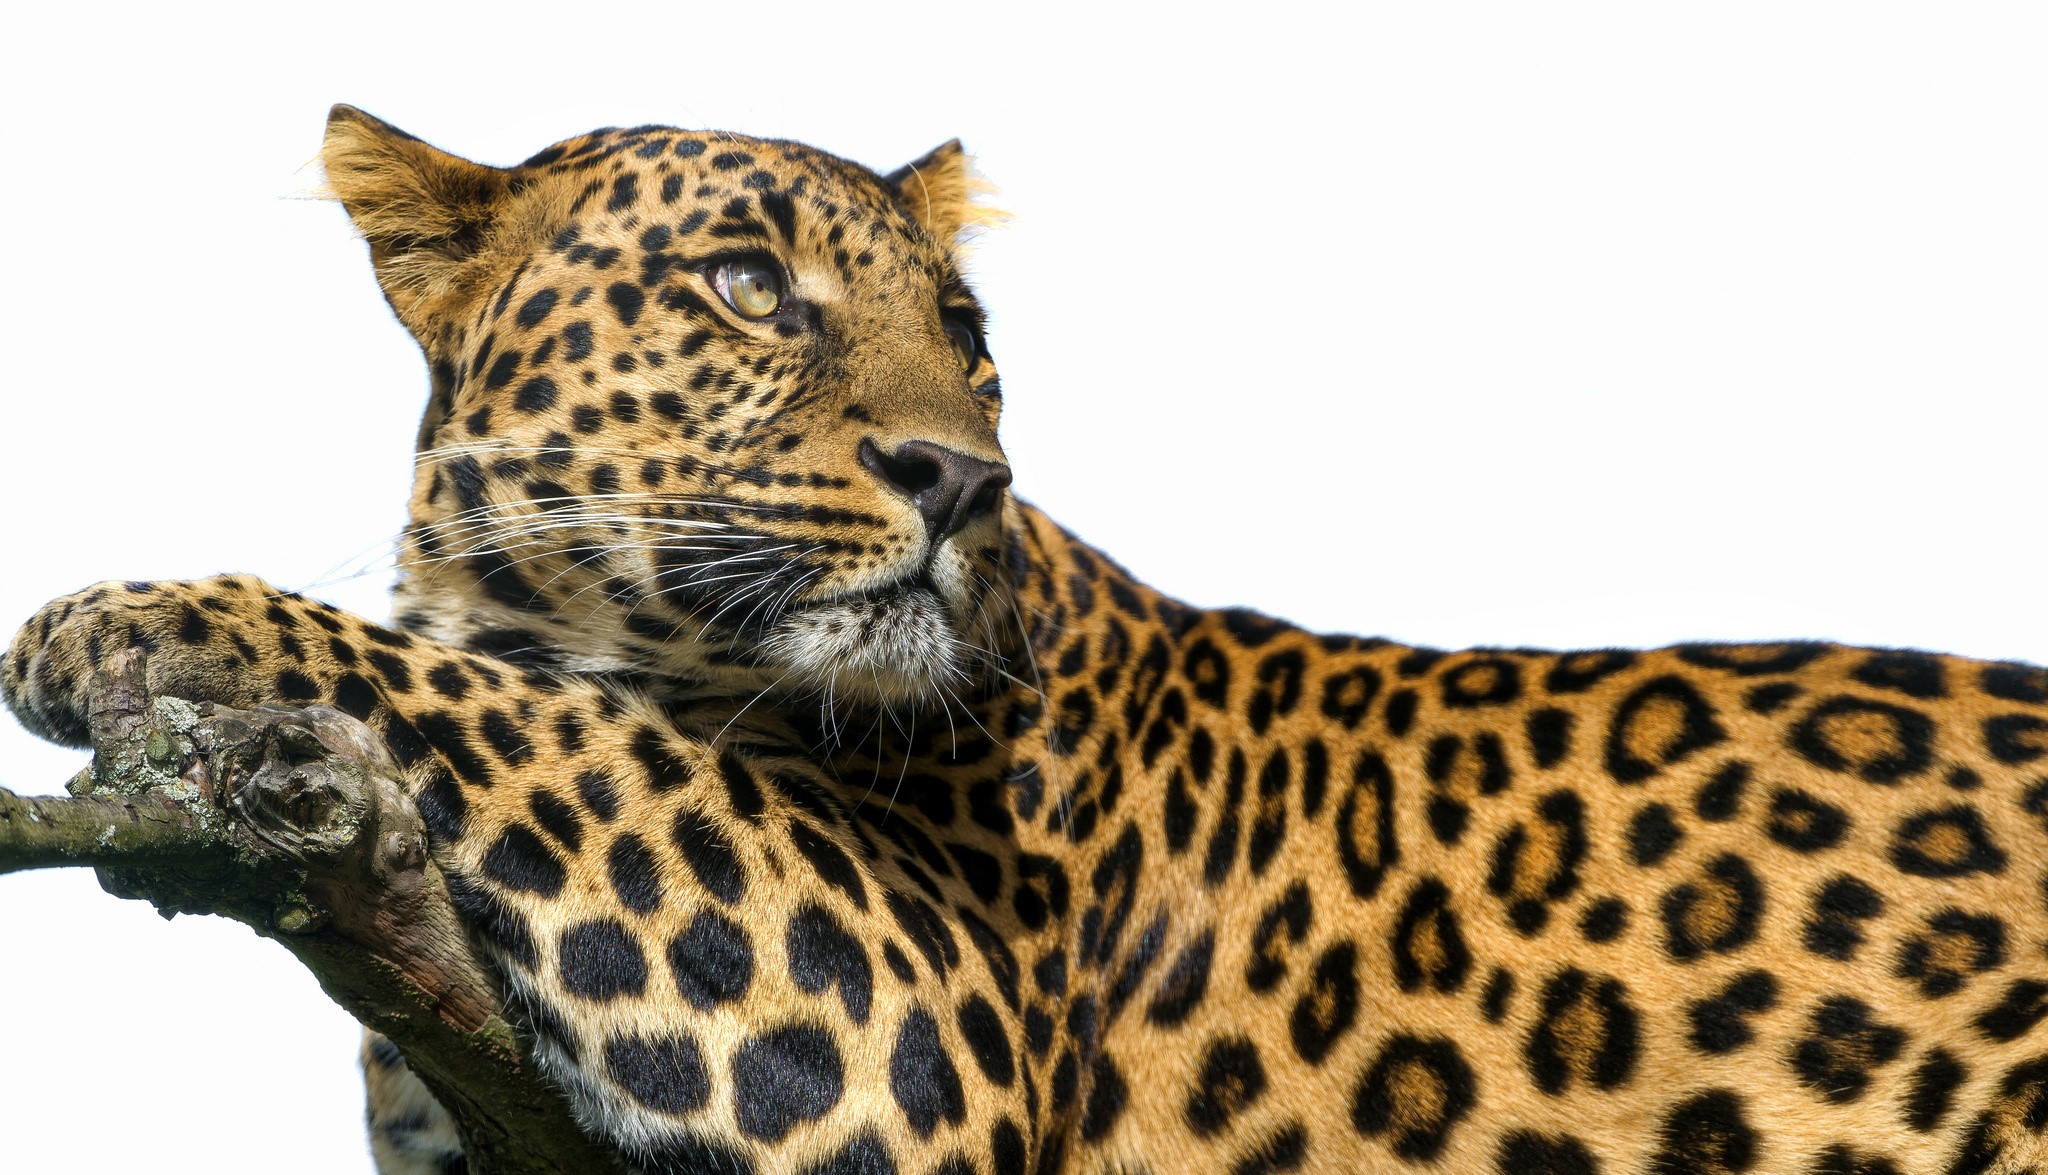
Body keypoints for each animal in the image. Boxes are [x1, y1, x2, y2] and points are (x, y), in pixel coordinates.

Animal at [7, 105, 2048, 1175]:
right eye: (747, 286)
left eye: (968, 333)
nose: (960, 477)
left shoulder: (920, 1012)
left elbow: (538, 718)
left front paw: (129, 619)